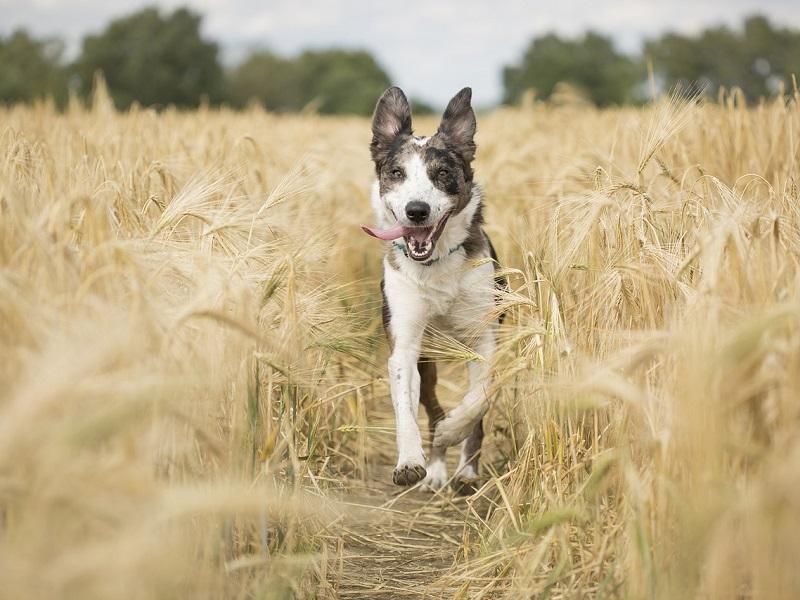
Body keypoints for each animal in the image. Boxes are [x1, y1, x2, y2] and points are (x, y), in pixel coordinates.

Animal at [360, 88, 504, 492]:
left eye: (442, 174)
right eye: (397, 173)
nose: (417, 211)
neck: (436, 265)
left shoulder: (484, 339)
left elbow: (478, 400)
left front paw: (454, 432)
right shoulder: (406, 345)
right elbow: (405, 407)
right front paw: (411, 461)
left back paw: (465, 469)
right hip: (429, 360)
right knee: (430, 405)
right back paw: (436, 469)